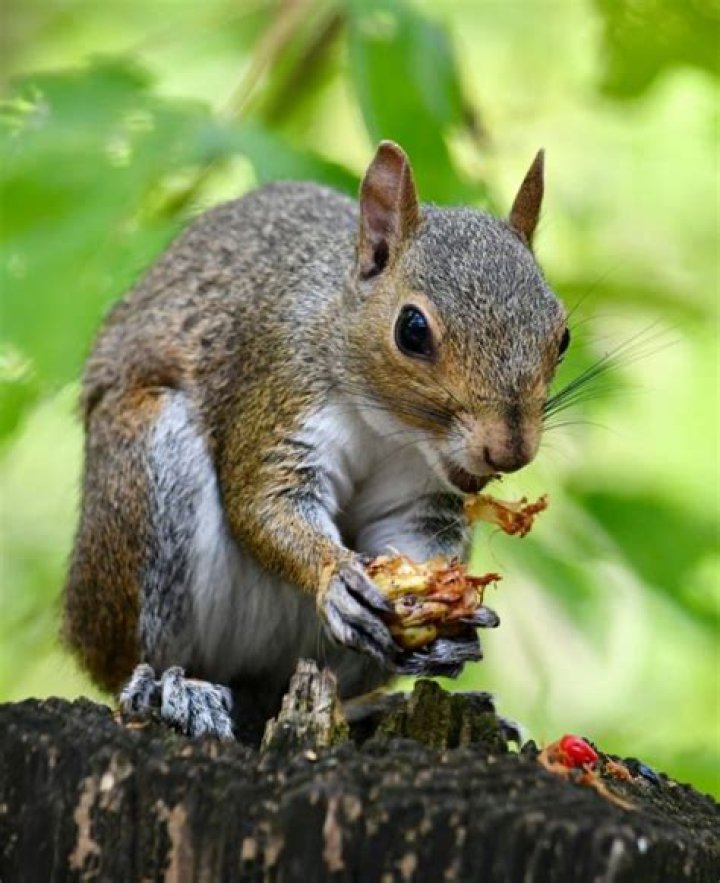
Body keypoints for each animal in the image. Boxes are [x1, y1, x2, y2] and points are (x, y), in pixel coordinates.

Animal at [62, 141, 568, 739]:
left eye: (562, 336)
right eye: (412, 329)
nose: (509, 450)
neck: (388, 427)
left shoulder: (421, 492)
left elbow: (410, 539)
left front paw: (448, 623)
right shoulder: (280, 390)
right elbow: (263, 503)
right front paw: (336, 577)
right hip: (146, 486)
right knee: (142, 656)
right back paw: (171, 689)